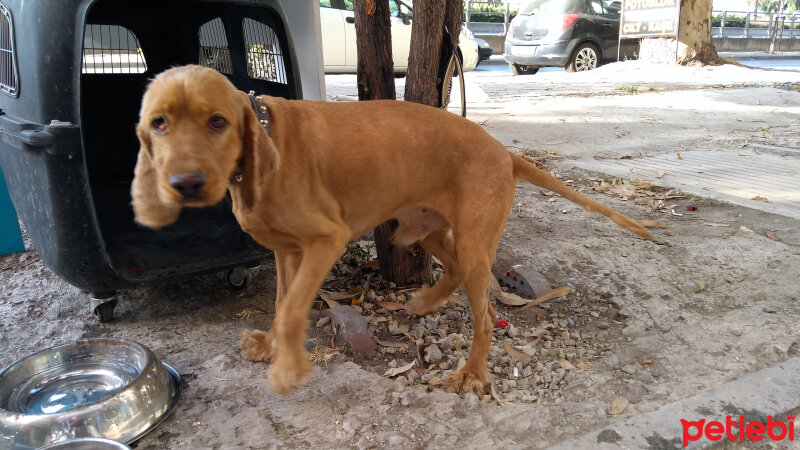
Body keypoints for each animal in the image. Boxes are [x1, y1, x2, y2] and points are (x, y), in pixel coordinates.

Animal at [131, 65, 656, 396]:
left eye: (217, 122)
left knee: (484, 313)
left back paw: (471, 374)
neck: (265, 132)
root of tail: (504, 153)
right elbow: (281, 303)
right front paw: (268, 346)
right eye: (159, 124)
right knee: (458, 276)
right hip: (424, 231)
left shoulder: (325, 241)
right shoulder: (289, 252)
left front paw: (288, 368)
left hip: (469, 237)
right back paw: (424, 304)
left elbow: (293, 309)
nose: (185, 184)